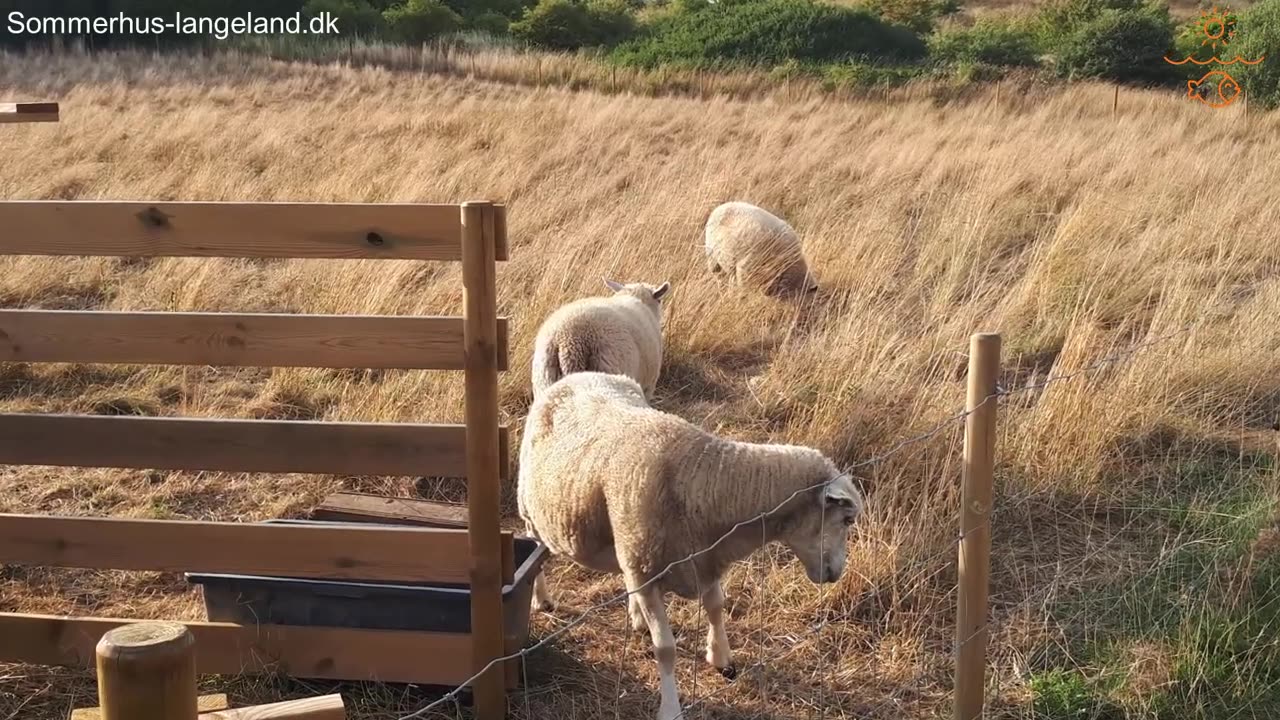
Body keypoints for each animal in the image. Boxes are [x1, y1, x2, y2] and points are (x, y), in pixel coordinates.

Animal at [514, 368, 865, 717]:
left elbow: (716, 606)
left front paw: (721, 658)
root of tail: (577, 375)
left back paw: (636, 616)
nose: (837, 573)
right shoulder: (647, 572)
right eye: (847, 519)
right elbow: (666, 648)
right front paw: (670, 707)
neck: (702, 479)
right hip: (531, 510)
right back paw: (541, 599)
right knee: (536, 551)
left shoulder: (703, 558)